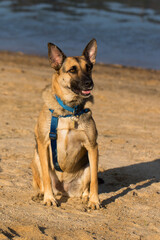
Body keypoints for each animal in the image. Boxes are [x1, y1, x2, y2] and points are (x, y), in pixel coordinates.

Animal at [30, 38, 99, 209]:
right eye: (72, 70)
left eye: (89, 68)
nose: (89, 83)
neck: (69, 110)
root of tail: (64, 188)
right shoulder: (43, 143)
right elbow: (46, 177)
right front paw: (49, 198)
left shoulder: (92, 146)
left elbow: (95, 180)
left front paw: (95, 200)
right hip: (36, 157)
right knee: (42, 181)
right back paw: (41, 194)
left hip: (88, 164)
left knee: (87, 185)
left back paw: (86, 196)